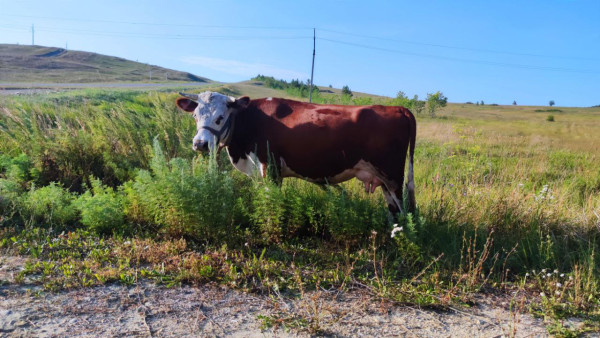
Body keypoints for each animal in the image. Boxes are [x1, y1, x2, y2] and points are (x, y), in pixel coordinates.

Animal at [176, 91, 414, 215]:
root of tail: (398, 108)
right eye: (195, 116)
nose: (200, 144)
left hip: (392, 176)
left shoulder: (270, 168)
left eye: (220, 117)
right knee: (394, 210)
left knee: (404, 211)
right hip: (383, 180)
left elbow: (272, 202)